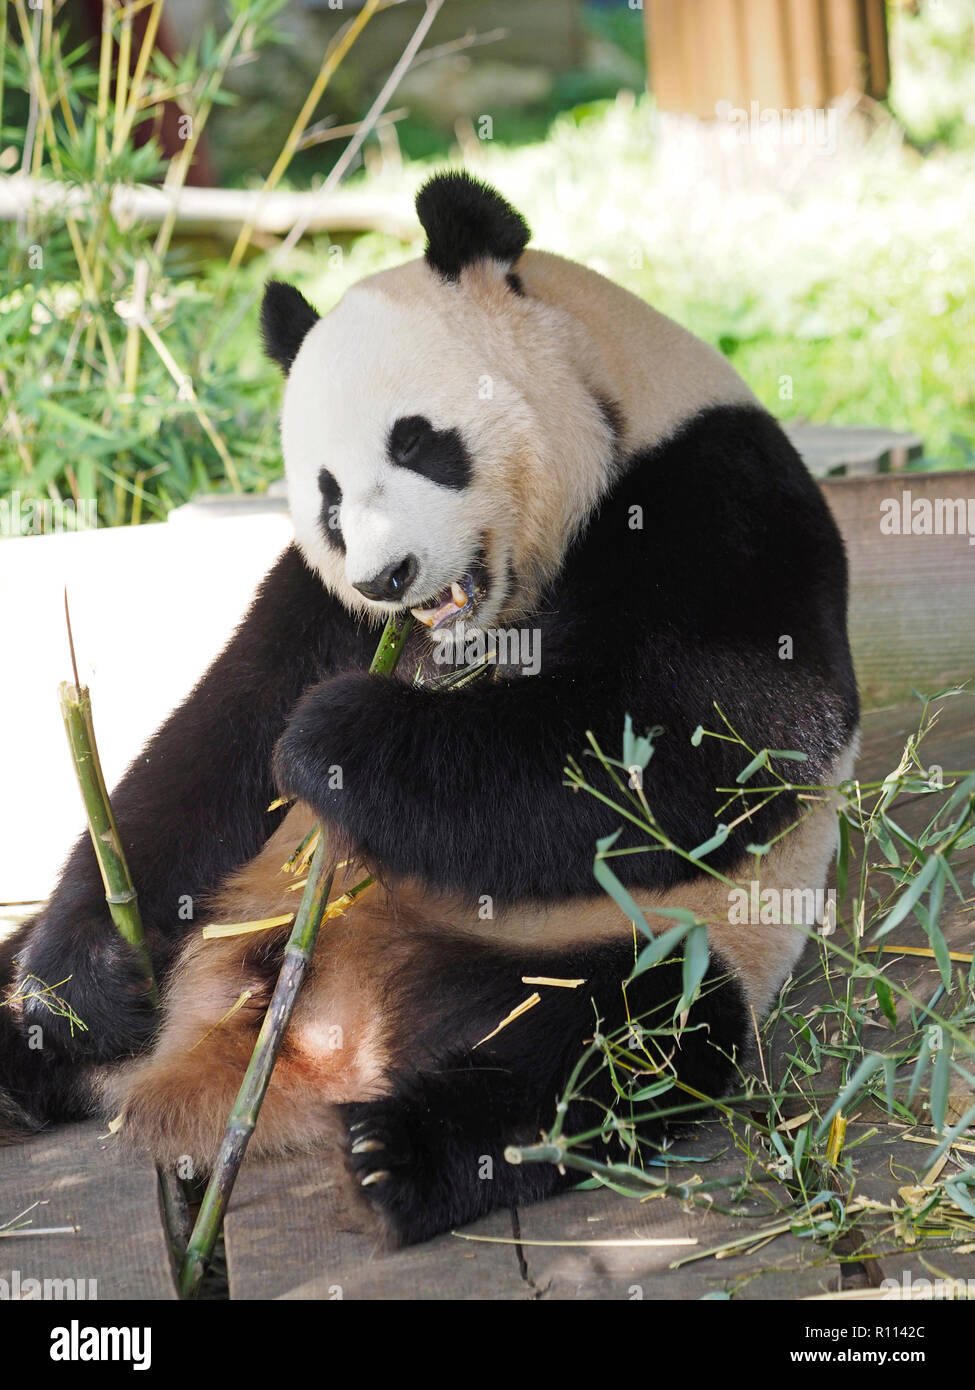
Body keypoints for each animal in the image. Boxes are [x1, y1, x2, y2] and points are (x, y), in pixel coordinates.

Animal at [0, 172, 858, 1246]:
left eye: (417, 441)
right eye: (327, 497)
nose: (389, 573)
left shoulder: (712, 486)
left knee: (624, 1033)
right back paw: (26, 1053)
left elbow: (708, 741)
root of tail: (319, 1040)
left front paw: (337, 741)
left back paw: (398, 1156)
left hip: (620, 940)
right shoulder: (321, 605)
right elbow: (211, 747)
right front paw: (80, 987)